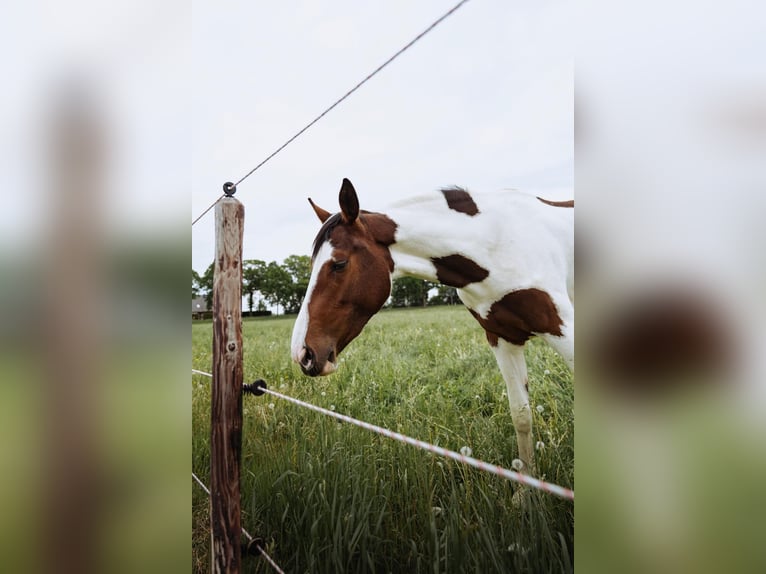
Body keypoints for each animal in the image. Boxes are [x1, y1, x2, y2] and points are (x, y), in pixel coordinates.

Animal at [291, 178, 574, 475]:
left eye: (339, 264)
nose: (303, 353)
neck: (496, 242)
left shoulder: (563, 329)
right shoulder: (503, 339)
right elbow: (521, 414)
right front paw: (526, 483)